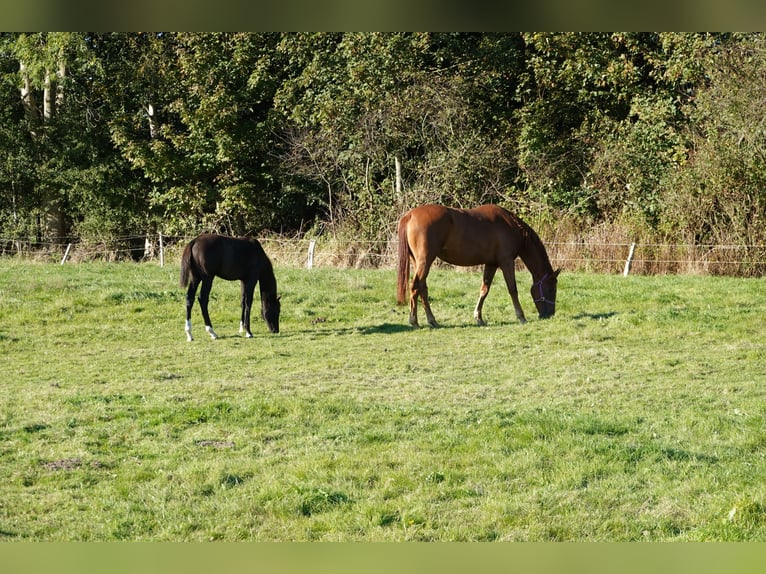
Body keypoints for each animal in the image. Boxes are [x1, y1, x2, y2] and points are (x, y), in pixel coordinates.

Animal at [400, 205, 560, 328]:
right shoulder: (506, 262)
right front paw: (521, 317)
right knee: (415, 286)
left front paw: (479, 318)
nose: (550, 314)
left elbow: (484, 290)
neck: (511, 226)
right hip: (425, 261)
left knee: (422, 288)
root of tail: (410, 215)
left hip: (418, 262)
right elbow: (513, 289)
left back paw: (432, 321)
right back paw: (414, 321)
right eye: (551, 289)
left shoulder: (491, 264)